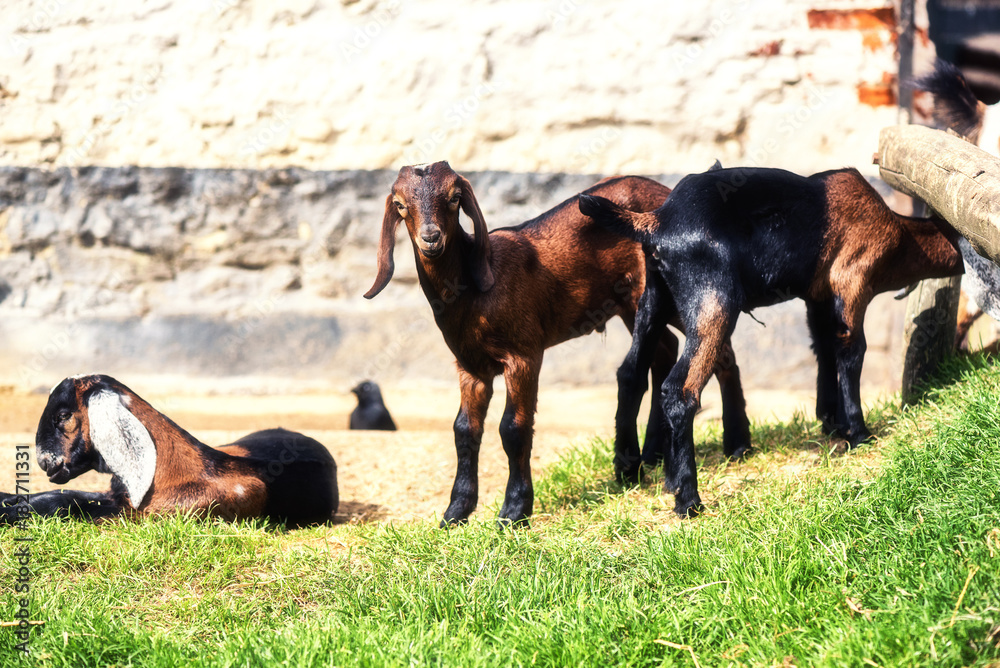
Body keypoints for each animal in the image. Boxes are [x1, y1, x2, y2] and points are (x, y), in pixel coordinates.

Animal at [0, 374, 340, 524]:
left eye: (63, 416)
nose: (44, 461)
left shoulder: (137, 514)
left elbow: (68, 503)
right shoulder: (117, 495)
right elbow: (65, 495)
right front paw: (7, 499)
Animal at [362, 162, 752, 528]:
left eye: (454, 198)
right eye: (400, 205)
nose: (431, 238)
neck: (474, 291)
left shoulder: (523, 354)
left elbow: (513, 428)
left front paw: (514, 512)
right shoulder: (470, 366)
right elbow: (464, 430)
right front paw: (455, 513)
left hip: (674, 294)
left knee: (718, 350)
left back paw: (738, 446)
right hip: (634, 305)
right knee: (666, 351)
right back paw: (656, 455)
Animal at [584, 166, 964, 516]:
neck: (899, 232)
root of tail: (658, 221)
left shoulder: (817, 296)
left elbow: (823, 349)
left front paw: (832, 423)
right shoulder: (852, 282)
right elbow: (851, 352)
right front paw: (858, 433)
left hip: (652, 298)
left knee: (630, 373)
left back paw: (631, 473)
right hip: (712, 302)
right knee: (681, 390)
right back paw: (688, 499)